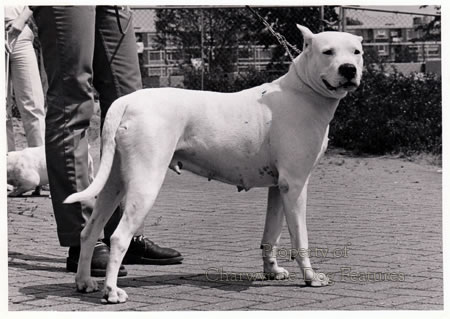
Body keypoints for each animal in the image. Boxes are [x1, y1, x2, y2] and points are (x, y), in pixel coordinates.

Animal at [65, 25, 364, 304]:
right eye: (328, 52)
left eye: (356, 52)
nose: (349, 69)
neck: (303, 90)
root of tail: (127, 100)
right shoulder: (296, 186)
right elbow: (300, 237)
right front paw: (311, 277)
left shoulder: (279, 188)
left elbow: (272, 234)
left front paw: (272, 270)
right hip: (145, 182)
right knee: (118, 237)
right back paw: (112, 291)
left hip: (113, 183)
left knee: (89, 231)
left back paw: (84, 282)